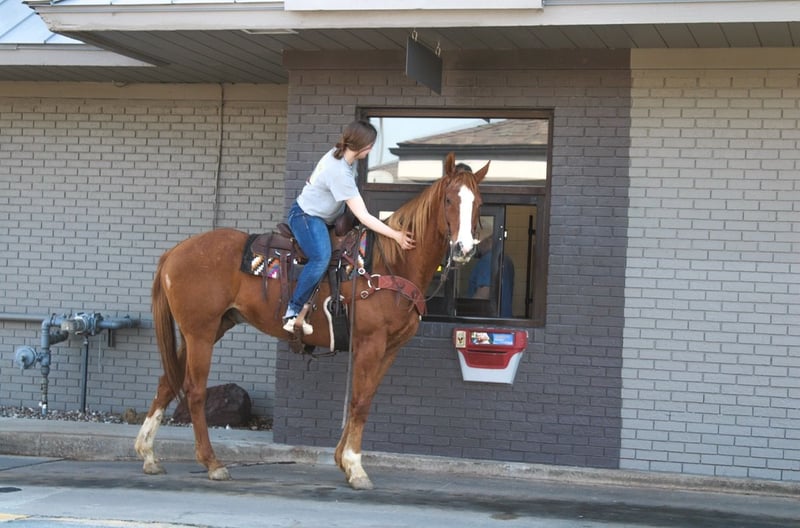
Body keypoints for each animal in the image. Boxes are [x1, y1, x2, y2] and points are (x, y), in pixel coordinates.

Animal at [134, 152, 488, 490]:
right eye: (449, 200)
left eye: (479, 203)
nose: (464, 248)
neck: (390, 263)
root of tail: (175, 252)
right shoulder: (370, 343)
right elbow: (360, 401)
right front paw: (355, 467)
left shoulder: (390, 348)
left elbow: (363, 399)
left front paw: (343, 461)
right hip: (201, 333)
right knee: (194, 390)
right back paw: (212, 463)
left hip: (211, 328)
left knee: (167, 382)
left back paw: (148, 455)